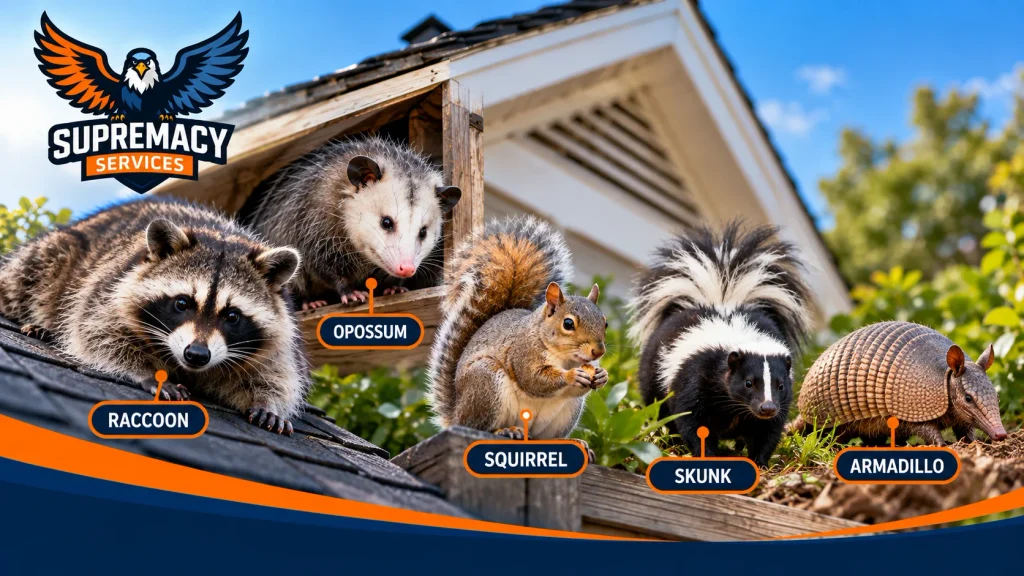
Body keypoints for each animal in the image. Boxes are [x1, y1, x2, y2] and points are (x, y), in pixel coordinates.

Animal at [0, 199, 308, 434]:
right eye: (182, 303)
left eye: (232, 316)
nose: (197, 354)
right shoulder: (107, 290)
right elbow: (96, 333)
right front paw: (145, 370)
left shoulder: (282, 334)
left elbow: (278, 372)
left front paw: (268, 401)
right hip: (55, 253)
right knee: (28, 275)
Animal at [237, 135, 461, 310]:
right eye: (386, 222)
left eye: (423, 232)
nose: (406, 268)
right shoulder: (312, 220)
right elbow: (320, 263)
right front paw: (351, 292)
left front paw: (394, 286)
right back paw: (311, 302)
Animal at [427, 216, 609, 440]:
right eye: (568, 324)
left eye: (605, 323)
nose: (598, 351)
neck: (566, 358)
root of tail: (456, 415)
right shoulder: (523, 353)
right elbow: (533, 379)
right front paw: (571, 376)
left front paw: (601, 375)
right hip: (486, 384)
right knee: (477, 425)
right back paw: (505, 430)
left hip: (566, 413)